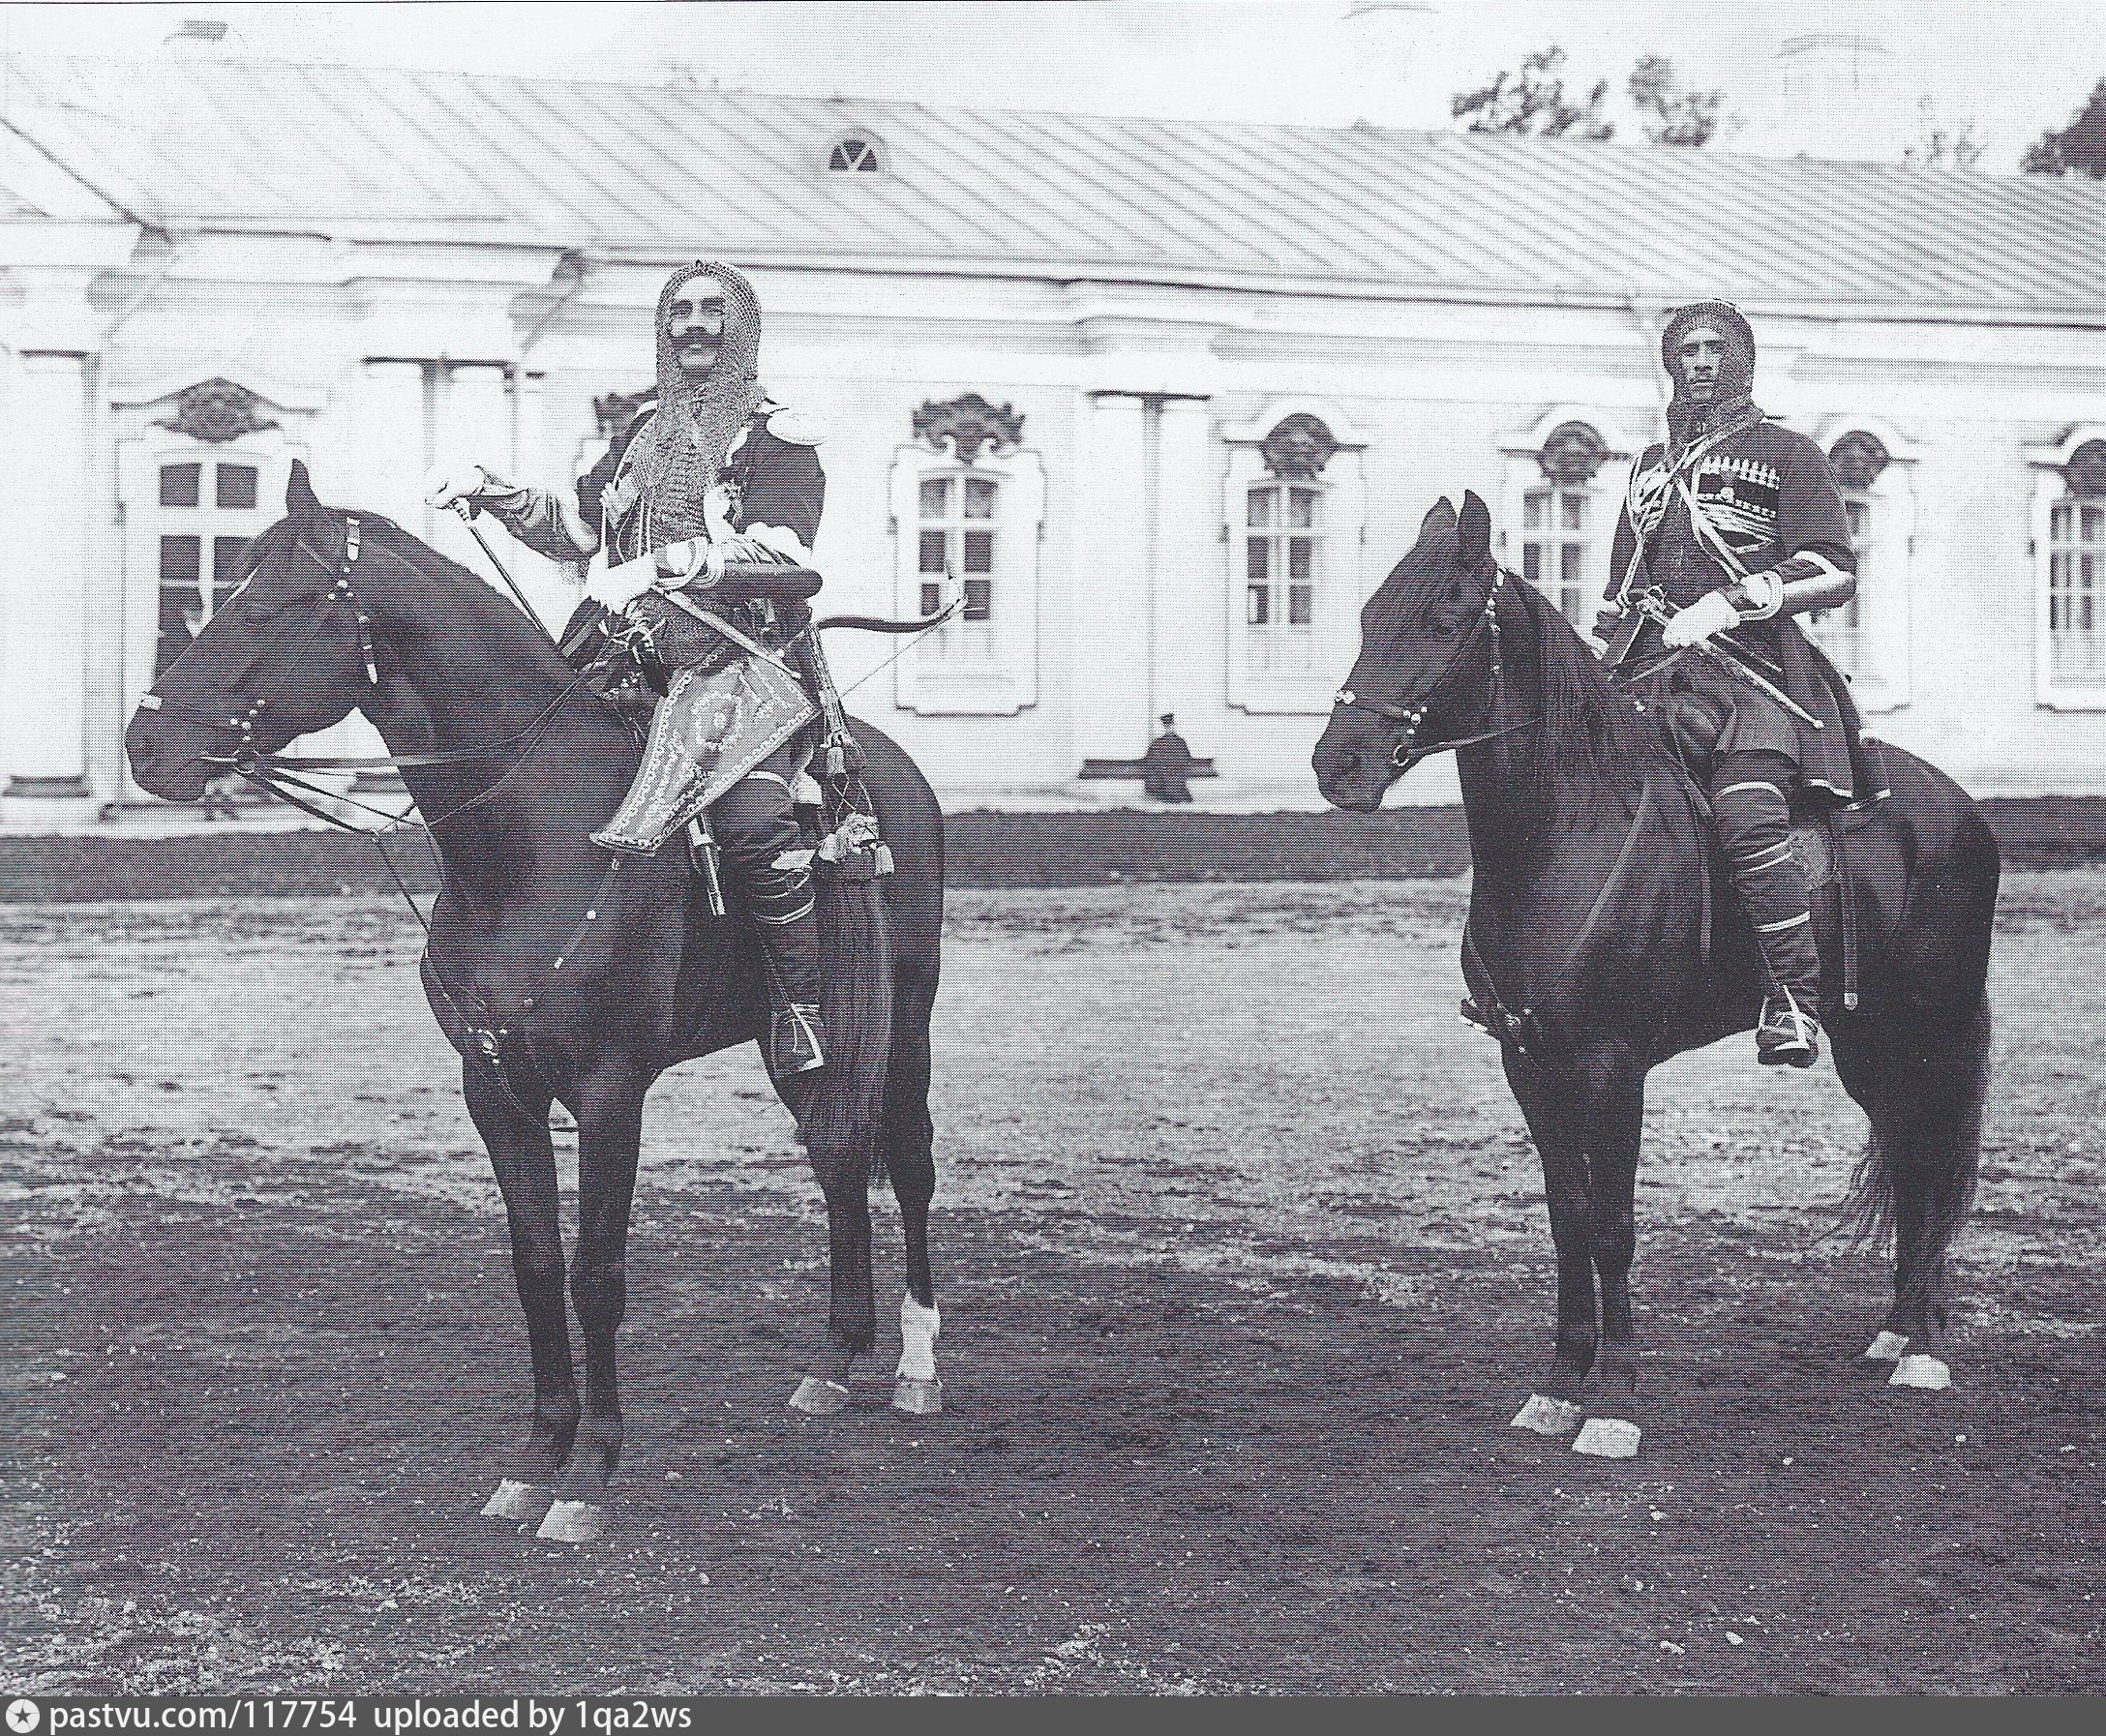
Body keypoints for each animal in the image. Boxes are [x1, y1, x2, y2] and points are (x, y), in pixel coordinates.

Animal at [129, 461, 948, 1533]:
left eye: (273, 604)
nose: (144, 746)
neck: (525, 841)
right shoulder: (494, 1085)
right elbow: (536, 1267)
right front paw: (536, 1456)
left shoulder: (609, 1092)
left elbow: (598, 1273)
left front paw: (592, 1473)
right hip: (792, 1038)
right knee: (836, 1152)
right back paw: (837, 1359)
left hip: (908, 1019)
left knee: (907, 1161)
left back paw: (919, 1366)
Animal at [1306, 494, 1996, 1457]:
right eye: (1370, 617)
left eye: (1441, 621)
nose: (1336, 767)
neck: (1563, 833)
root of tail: (1961, 806)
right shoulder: (1530, 1063)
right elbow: (1567, 1219)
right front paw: (1560, 1384)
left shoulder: (1611, 1066)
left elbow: (1614, 1227)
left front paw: (1617, 1401)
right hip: (1868, 1035)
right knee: (1904, 1149)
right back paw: (1896, 1329)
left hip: (1930, 1025)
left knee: (1928, 1154)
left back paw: (1926, 1348)